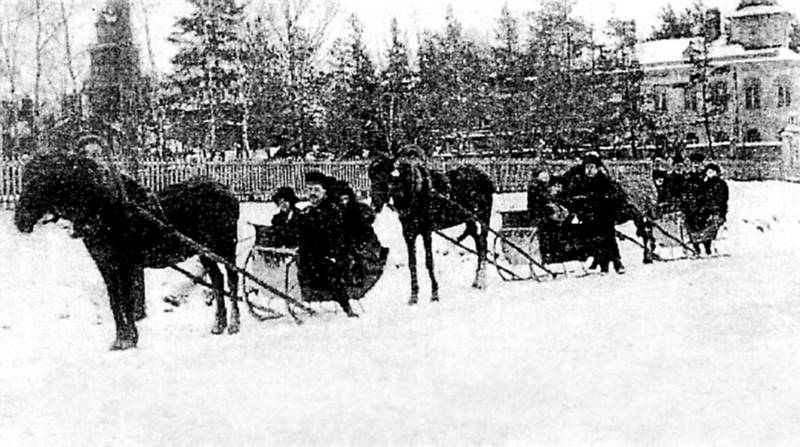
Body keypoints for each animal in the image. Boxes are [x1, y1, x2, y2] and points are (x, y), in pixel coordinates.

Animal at [14, 152, 241, 352]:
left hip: (225, 246)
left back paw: (234, 324)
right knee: (217, 279)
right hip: (205, 252)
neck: (104, 209)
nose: (19, 220)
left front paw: (130, 338)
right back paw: (219, 324)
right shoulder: (106, 266)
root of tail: (227, 191)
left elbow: (127, 301)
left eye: (40, 180)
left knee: (232, 278)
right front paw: (120, 339)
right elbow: (115, 302)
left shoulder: (125, 265)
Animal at [368, 147, 494, 304]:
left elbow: (429, 261)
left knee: (482, 243)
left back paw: (483, 281)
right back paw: (476, 280)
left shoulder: (426, 232)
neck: (416, 192)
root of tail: (486, 177)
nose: (375, 205)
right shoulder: (408, 234)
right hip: (469, 218)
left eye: (387, 176)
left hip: (484, 217)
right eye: (371, 177)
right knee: (476, 239)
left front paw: (434, 293)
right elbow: (412, 263)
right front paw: (414, 295)